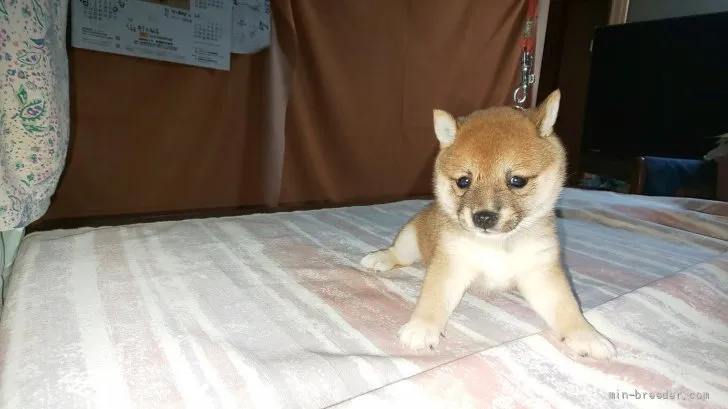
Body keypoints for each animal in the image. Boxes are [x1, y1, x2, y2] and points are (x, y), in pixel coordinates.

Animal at [362, 91, 616, 358]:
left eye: (517, 180)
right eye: (463, 181)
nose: (483, 217)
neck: (498, 244)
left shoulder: (541, 273)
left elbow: (566, 306)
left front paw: (586, 335)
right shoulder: (451, 265)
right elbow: (433, 297)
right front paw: (421, 327)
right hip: (411, 237)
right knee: (399, 252)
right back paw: (380, 258)